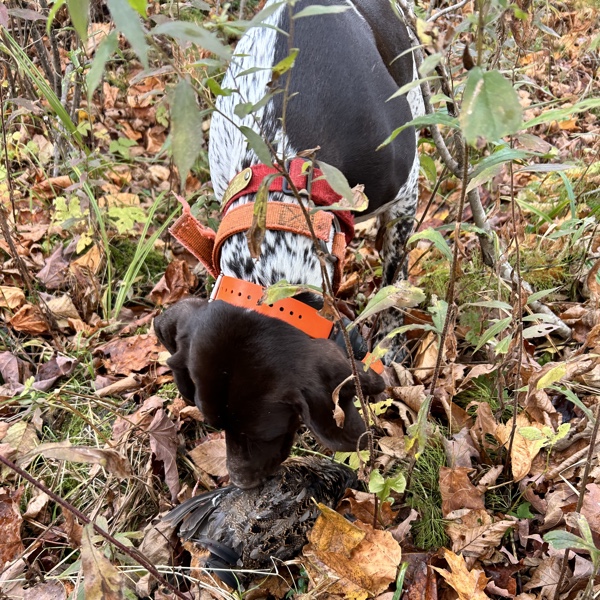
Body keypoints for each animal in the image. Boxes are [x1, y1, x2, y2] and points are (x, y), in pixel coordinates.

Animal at [157, 0, 424, 490]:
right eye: (213, 422)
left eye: (268, 426)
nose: (240, 483)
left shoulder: (404, 194)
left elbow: (393, 280)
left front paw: (390, 340)